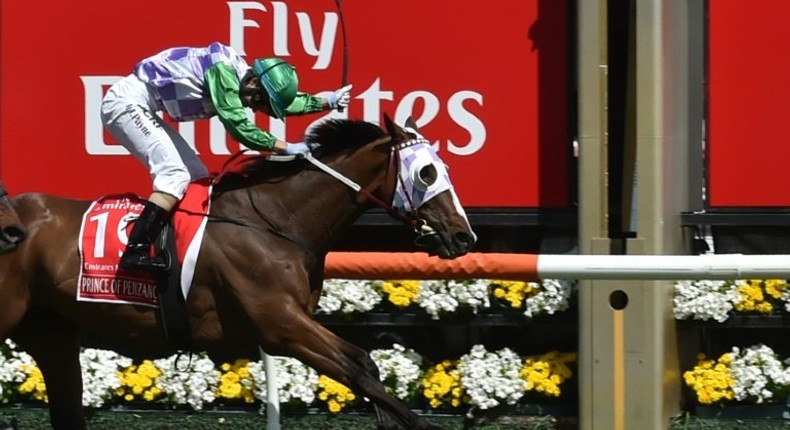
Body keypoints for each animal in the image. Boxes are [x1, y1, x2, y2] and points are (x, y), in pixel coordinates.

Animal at [0, 115, 476, 430]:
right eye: (427, 172)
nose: (463, 235)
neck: (277, 219)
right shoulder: (280, 325)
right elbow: (361, 371)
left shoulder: (289, 323)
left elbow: (366, 367)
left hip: (51, 330)